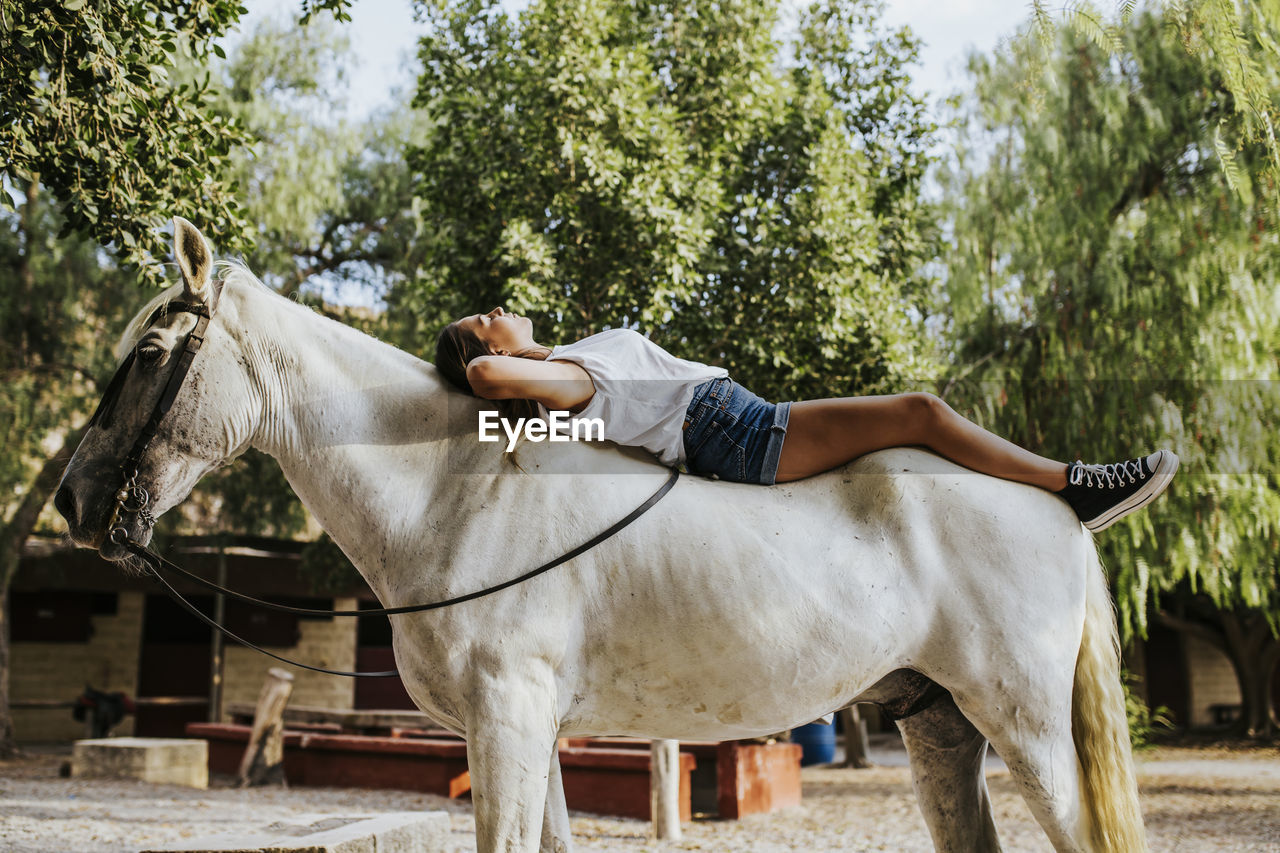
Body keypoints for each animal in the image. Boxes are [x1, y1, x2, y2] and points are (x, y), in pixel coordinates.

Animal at [55, 219, 1146, 850]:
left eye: (151, 353)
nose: (72, 500)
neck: (450, 493)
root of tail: (1056, 510)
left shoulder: (507, 720)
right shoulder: (526, 730)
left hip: (1027, 726)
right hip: (940, 723)